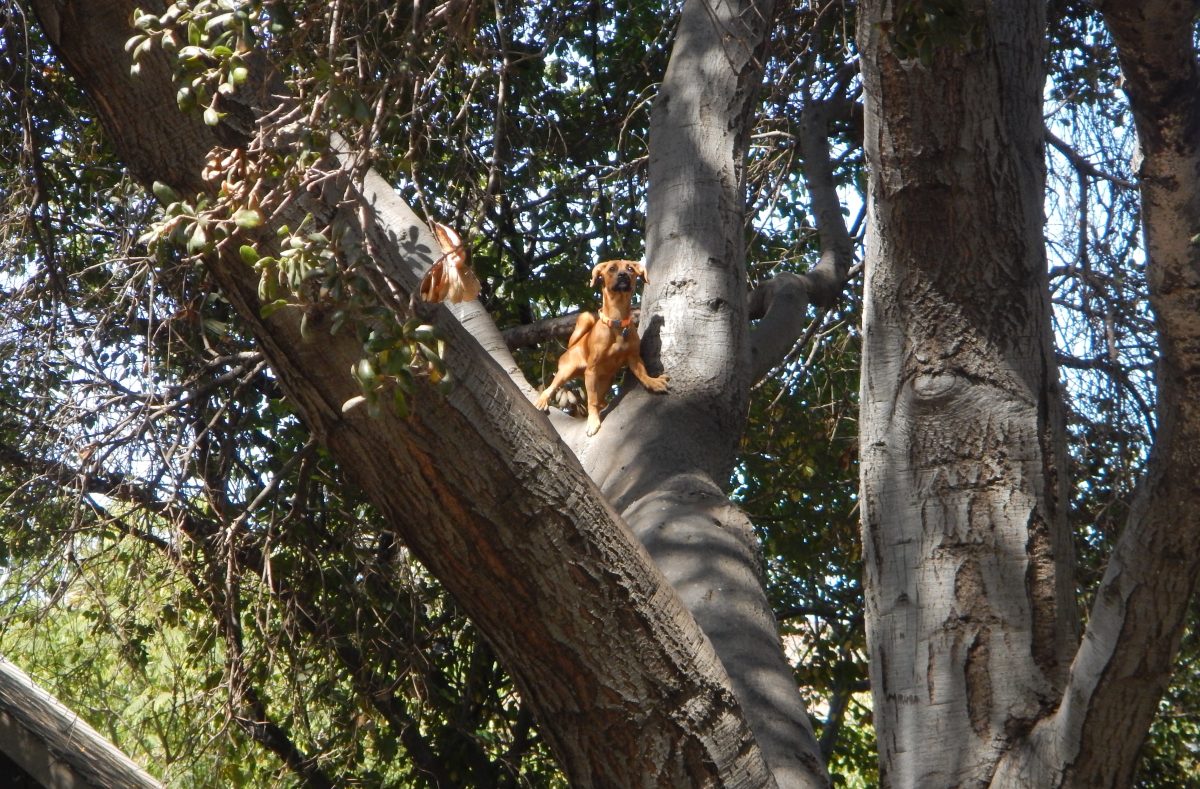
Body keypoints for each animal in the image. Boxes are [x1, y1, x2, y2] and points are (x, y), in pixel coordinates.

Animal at [532, 257, 667, 434]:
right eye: (612, 269)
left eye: (630, 269)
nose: (623, 275)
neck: (617, 323)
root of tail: (573, 346)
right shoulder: (591, 371)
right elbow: (591, 401)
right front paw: (592, 422)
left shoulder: (634, 358)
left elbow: (642, 373)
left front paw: (653, 382)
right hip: (566, 372)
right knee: (552, 388)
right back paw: (542, 400)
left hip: (607, 380)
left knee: (600, 398)